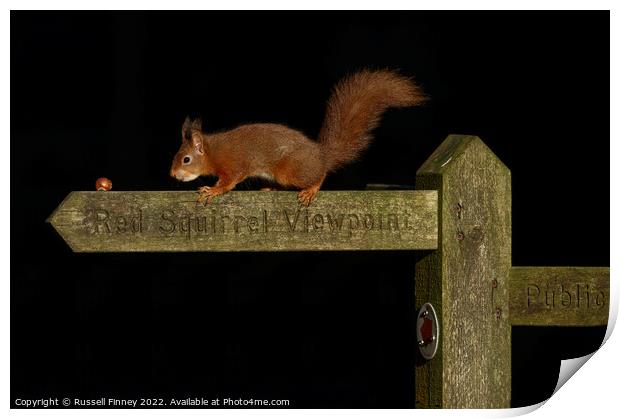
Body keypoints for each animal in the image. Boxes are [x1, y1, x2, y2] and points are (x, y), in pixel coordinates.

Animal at [170, 69, 426, 206]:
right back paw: (271, 189)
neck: (213, 150)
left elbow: (228, 182)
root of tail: (321, 155)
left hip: (290, 170)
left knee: (319, 175)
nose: (172, 175)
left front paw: (212, 190)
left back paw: (311, 189)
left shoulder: (234, 165)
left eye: (186, 160)